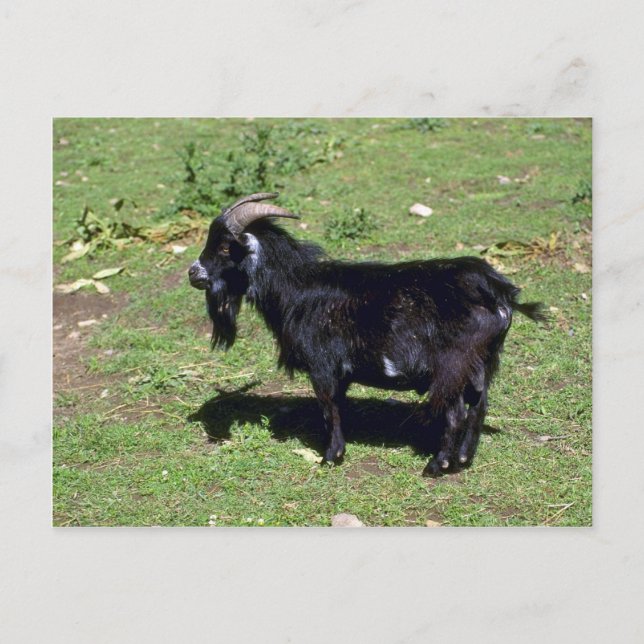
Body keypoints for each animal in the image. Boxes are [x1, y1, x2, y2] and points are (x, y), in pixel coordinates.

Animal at [188, 192, 545, 476]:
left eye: (225, 247)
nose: (193, 272)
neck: (295, 289)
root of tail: (497, 292)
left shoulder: (323, 365)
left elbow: (329, 408)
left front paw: (330, 456)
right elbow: (339, 406)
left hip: (454, 364)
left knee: (456, 412)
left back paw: (437, 465)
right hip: (481, 363)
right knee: (478, 407)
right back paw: (463, 459)